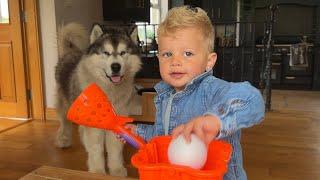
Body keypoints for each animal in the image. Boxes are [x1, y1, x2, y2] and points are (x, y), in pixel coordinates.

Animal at [54, 22, 141, 176]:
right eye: (106, 53)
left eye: (123, 53)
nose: (115, 66)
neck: (108, 90)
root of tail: (68, 53)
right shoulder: (93, 127)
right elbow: (96, 149)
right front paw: (98, 171)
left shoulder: (116, 121)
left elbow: (114, 150)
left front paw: (116, 169)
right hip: (65, 106)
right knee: (64, 123)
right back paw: (63, 139)